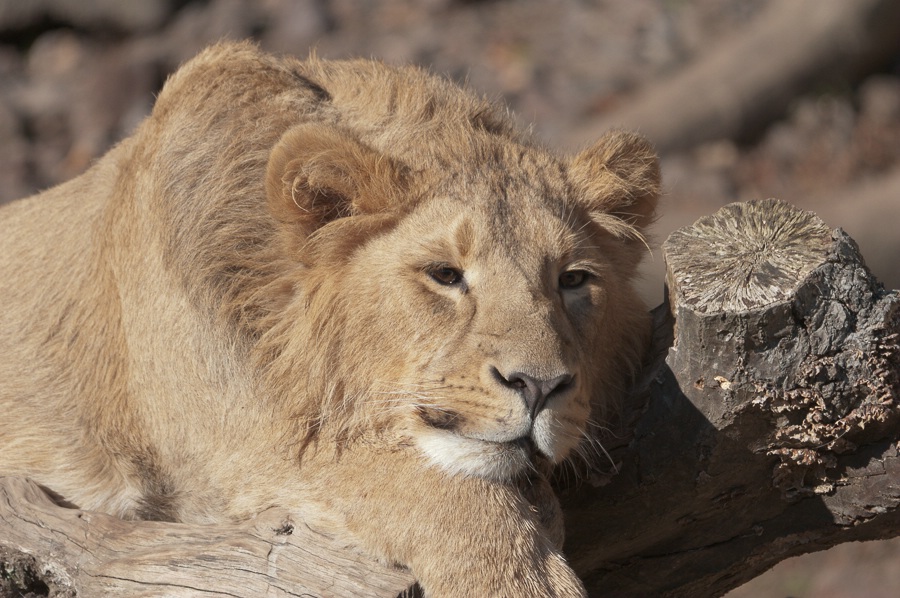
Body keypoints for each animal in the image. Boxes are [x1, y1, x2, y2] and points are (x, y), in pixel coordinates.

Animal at [0, 41, 659, 596]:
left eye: (572, 280)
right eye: (445, 275)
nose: (540, 386)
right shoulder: (227, 465)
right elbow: (411, 483)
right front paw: (525, 578)